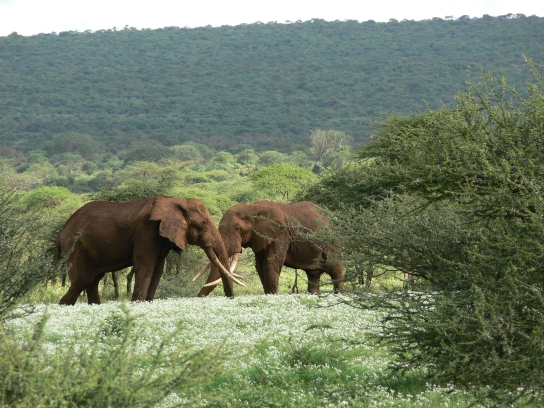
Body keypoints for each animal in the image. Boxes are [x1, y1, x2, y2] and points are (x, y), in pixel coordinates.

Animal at [57, 196, 243, 305]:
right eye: (203, 224)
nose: (230, 298)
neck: (176, 201)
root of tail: (62, 230)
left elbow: (158, 269)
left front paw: (146, 303)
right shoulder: (146, 231)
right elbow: (146, 265)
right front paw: (137, 304)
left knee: (92, 280)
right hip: (75, 245)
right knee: (83, 280)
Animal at [194, 200, 345, 296]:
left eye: (238, 228)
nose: (199, 296)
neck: (252, 207)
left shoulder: (281, 234)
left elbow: (271, 263)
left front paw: (272, 296)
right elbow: (260, 265)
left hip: (332, 243)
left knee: (335, 271)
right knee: (313, 275)